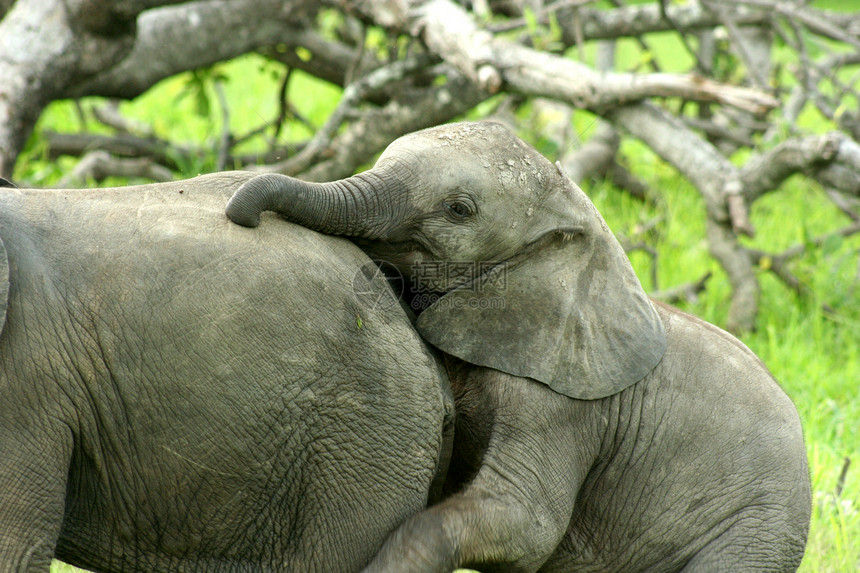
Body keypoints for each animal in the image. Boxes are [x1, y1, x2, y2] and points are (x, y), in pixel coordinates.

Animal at [225, 120, 808, 572]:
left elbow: (525, 523)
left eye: (459, 210)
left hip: (758, 529)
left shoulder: (564, 405)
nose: (242, 214)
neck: (578, 218)